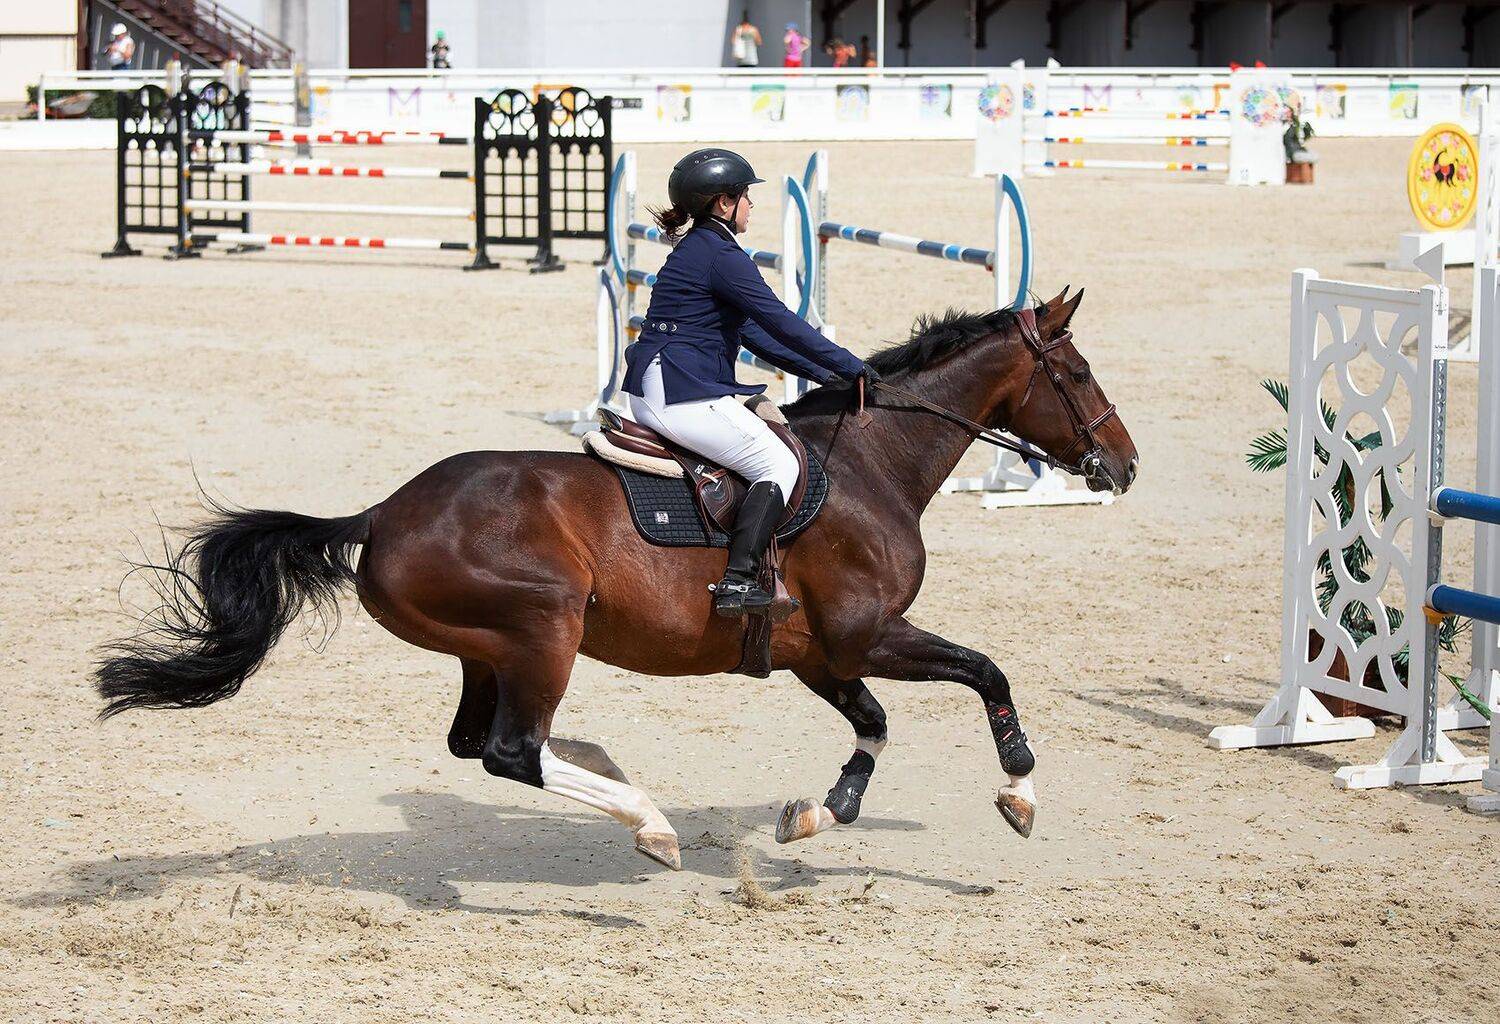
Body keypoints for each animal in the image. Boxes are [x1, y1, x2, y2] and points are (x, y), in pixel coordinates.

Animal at [96, 288, 1137, 871]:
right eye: (1080, 371)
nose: (1124, 465)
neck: (873, 461)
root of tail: (382, 513)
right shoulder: (868, 634)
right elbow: (989, 672)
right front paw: (1020, 794)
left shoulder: (819, 653)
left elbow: (873, 724)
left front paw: (821, 812)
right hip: (543, 628)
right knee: (511, 752)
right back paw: (649, 820)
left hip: (490, 649)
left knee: (478, 743)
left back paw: (621, 785)